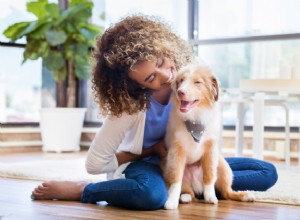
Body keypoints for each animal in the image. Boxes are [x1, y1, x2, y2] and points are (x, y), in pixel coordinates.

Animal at [163, 62, 254, 210]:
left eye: (197, 82)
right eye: (181, 80)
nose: (180, 92)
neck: (195, 118)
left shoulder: (211, 149)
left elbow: (209, 175)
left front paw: (210, 197)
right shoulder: (177, 151)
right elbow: (176, 180)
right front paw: (171, 201)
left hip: (223, 166)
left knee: (226, 192)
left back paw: (245, 195)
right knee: (188, 191)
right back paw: (184, 197)